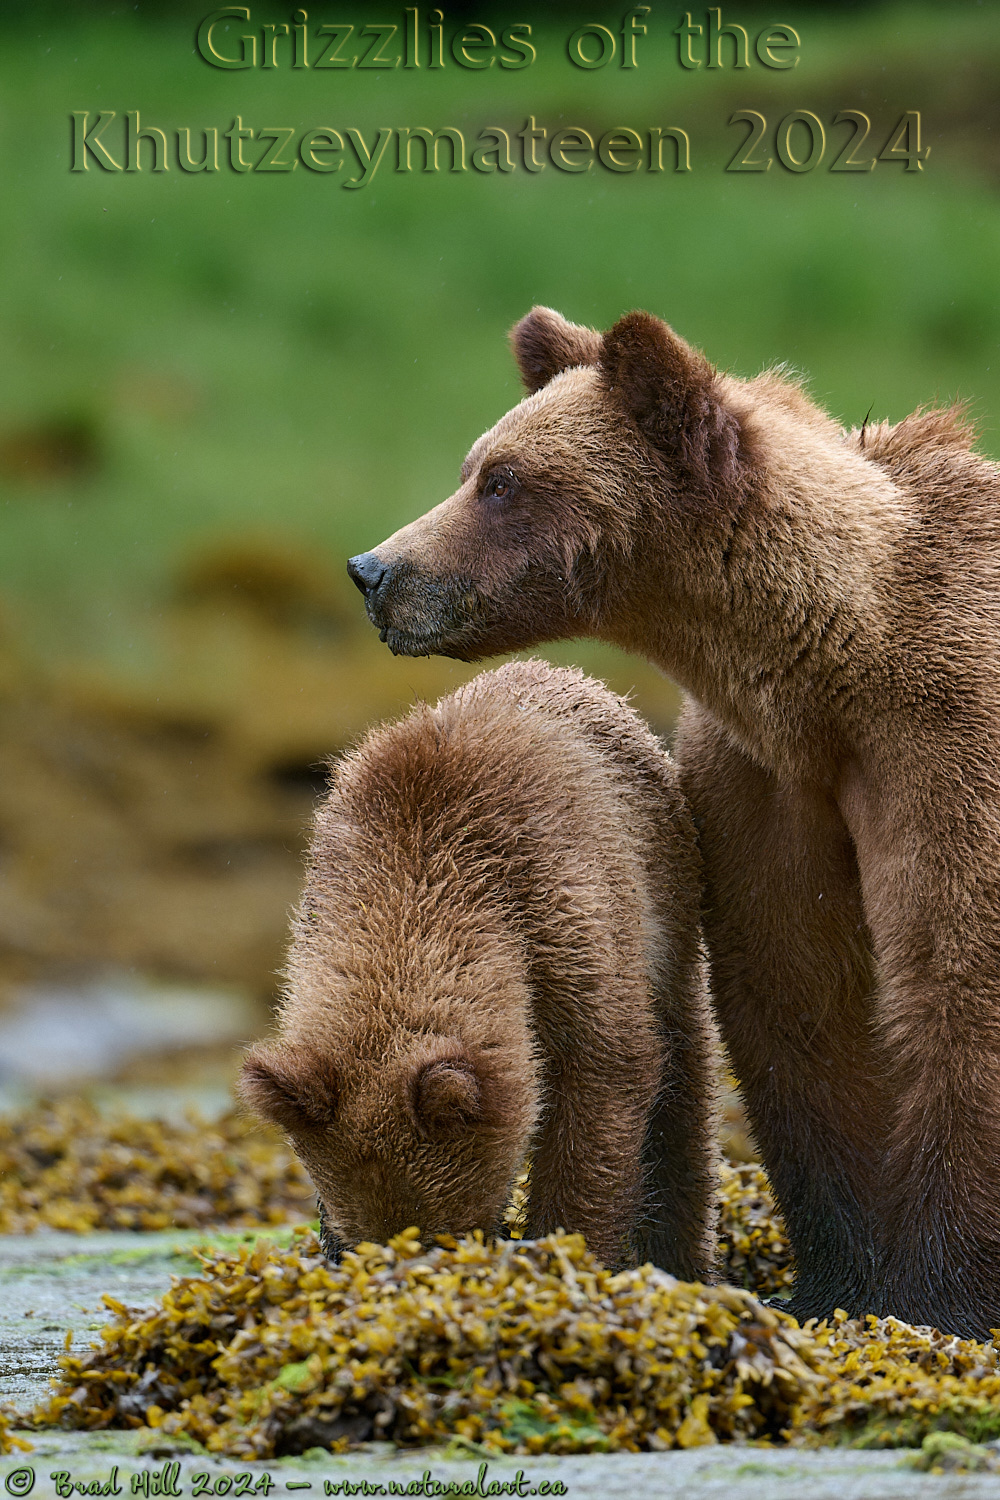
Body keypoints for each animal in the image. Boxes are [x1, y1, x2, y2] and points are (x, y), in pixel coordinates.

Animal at [238, 660, 716, 1278]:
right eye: (369, 1236)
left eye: (441, 1232)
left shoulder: (566, 917)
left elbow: (608, 1077)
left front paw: (565, 1245)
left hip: (669, 896)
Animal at [346, 304, 1000, 1338]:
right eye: (473, 464)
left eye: (503, 480)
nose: (375, 570)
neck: (832, 676)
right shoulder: (763, 788)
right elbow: (794, 995)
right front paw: (838, 1283)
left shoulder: (946, 741)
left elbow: (958, 978)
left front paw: (935, 1302)